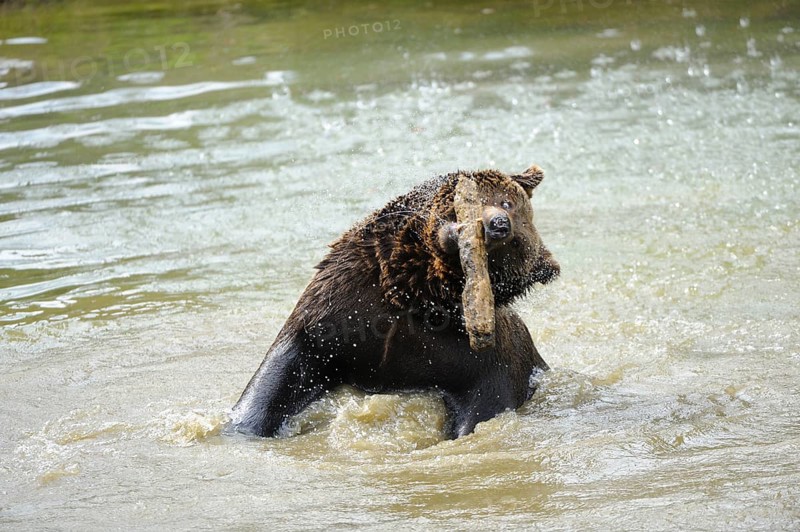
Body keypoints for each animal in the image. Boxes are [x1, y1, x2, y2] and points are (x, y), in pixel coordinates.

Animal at [229, 165, 560, 439]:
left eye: (514, 243)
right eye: (504, 202)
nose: (500, 225)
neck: (414, 286)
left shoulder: (478, 361)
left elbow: (485, 405)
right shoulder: (343, 305)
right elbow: (283, 374)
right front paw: (244, 425)